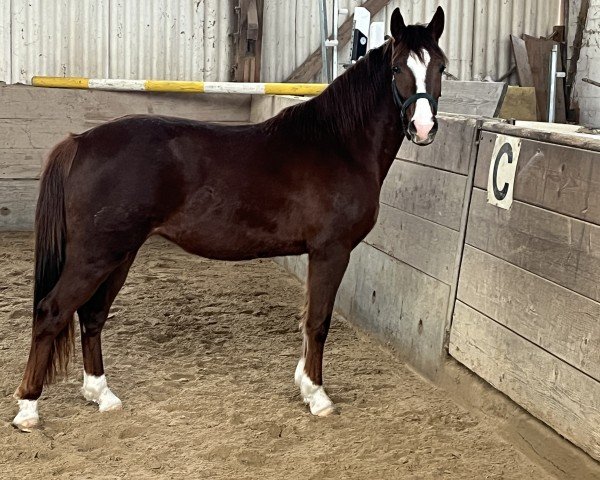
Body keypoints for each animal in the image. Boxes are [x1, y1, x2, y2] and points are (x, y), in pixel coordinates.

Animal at [12, 7, 446, 428]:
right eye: (397, 67)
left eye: (440, 66)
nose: (423, 128)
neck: (337, 144)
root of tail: (79, 143)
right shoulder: (331, 251)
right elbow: (318, 321)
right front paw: (318, 396)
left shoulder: (317, 254)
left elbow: (307, 318)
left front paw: (304, 385)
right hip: (96, 255)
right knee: (52, 312)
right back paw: (28, 409)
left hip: (120, 254)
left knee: (92, 315)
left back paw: (101, 394)